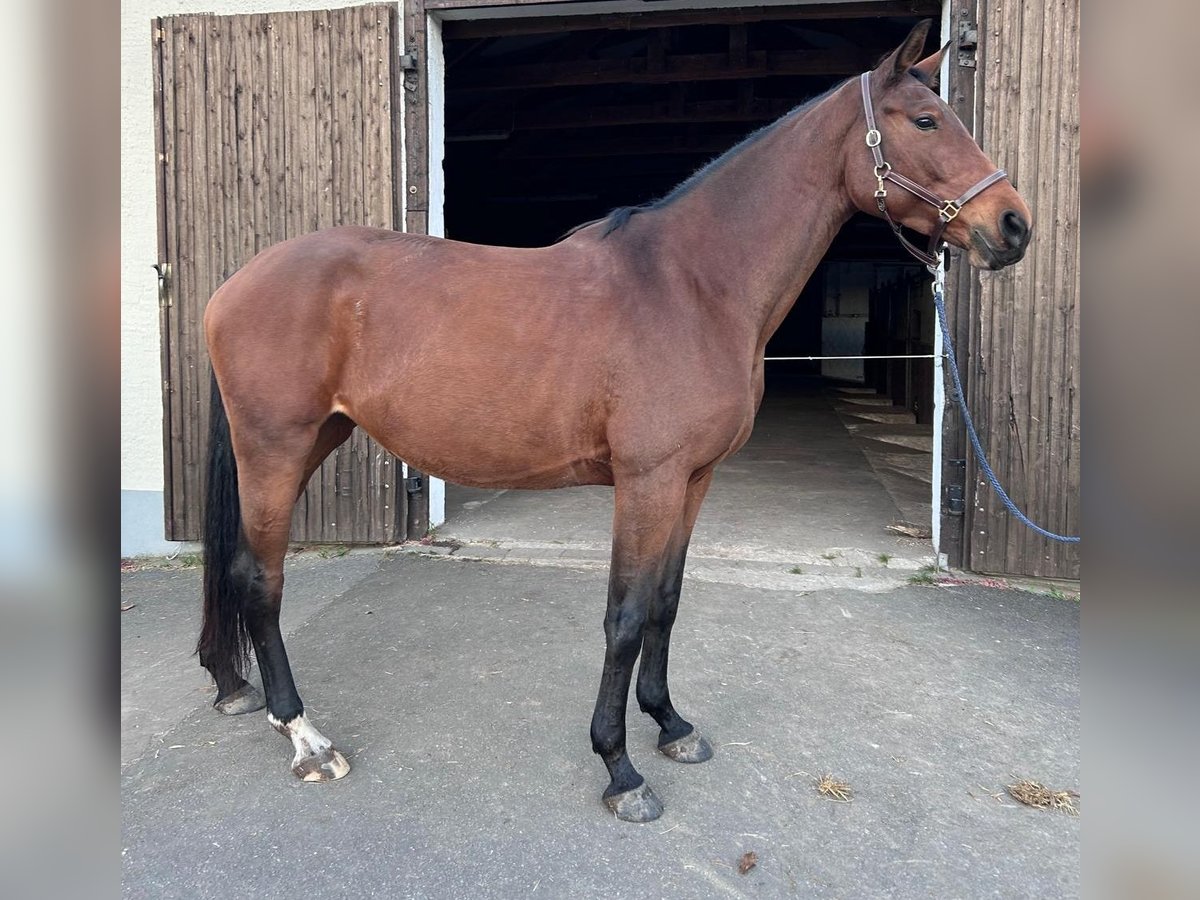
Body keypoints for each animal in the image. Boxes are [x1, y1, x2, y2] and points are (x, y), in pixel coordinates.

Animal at [199, 21, 1032, 825]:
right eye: (925, 120)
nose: (1014, 226)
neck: (692, 287)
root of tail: (233, 285)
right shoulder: (647, 481)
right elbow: (626, 616)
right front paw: (620, 768)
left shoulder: (693, 481)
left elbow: (666, 601)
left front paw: (671, 725)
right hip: (276, 449)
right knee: (260, 577)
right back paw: (304, 735)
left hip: (313, 440)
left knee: (239, 568)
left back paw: (235, 688)